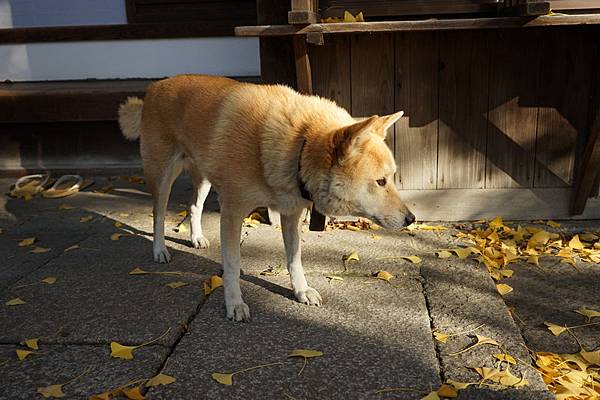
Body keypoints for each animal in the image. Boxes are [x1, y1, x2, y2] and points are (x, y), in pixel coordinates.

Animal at [119, 76, 414, 322]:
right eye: (381, 181)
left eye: (392, 177)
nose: (411, 219)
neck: (299, 144)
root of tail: (155, 86)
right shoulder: (232, 212)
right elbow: (232, 265)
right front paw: (234, 303)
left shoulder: (291, 213)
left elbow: (294, 259)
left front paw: (301, 290)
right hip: (162, 176)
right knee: (158, 215)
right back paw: (159, 250)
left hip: (204, 177)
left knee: (194, 206)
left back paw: (197, 237)